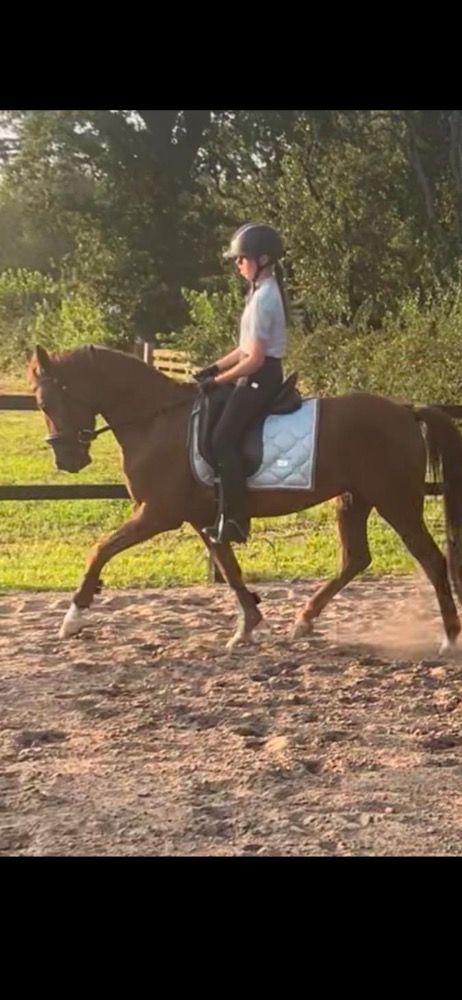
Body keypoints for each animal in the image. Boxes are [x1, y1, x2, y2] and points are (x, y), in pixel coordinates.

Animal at [27, 343, 462, 654]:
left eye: (46, 403)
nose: (67, 460)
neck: (156, 421)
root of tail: (405, 411)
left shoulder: (158, 514)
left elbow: (99, 551)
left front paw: (73, 618)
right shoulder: (204, 518)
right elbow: (230, 569)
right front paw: (248, 627)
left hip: (397, 502)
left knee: (431, 560)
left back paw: (449, 639)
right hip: (355, 499)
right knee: (355, 559)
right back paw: (304, 620)